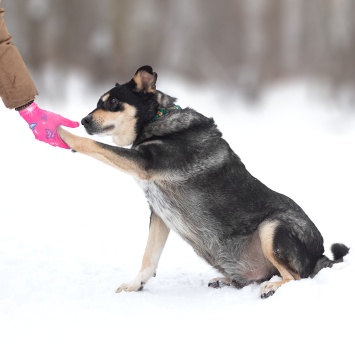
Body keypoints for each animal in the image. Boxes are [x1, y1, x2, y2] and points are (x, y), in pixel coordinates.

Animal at [58, 66, 350, 298]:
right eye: (100, 102)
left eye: (114, 102)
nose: (84, 120)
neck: (157, 118)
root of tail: (321, 256)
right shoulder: (159, 214)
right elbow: (149, 258)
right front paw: (134, 286)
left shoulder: (145, 165)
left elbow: (91, 144)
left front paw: (62, 132)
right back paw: (226, 280)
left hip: (272, 227)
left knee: (297, 277)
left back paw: (273, 287)